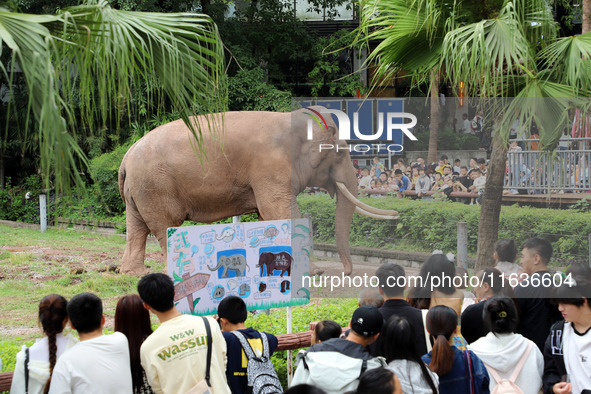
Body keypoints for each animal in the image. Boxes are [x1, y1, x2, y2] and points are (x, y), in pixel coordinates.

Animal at [118, 106, 400, 276]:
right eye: (340, 153)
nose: (347, 272)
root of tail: (126, 157)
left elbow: (267, 216)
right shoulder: (271, 167)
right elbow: (278, 209)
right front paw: (313, 271)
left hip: (139, 192)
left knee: (137, 228)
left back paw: (133, 273)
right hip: (155, 187)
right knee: (166, 226)